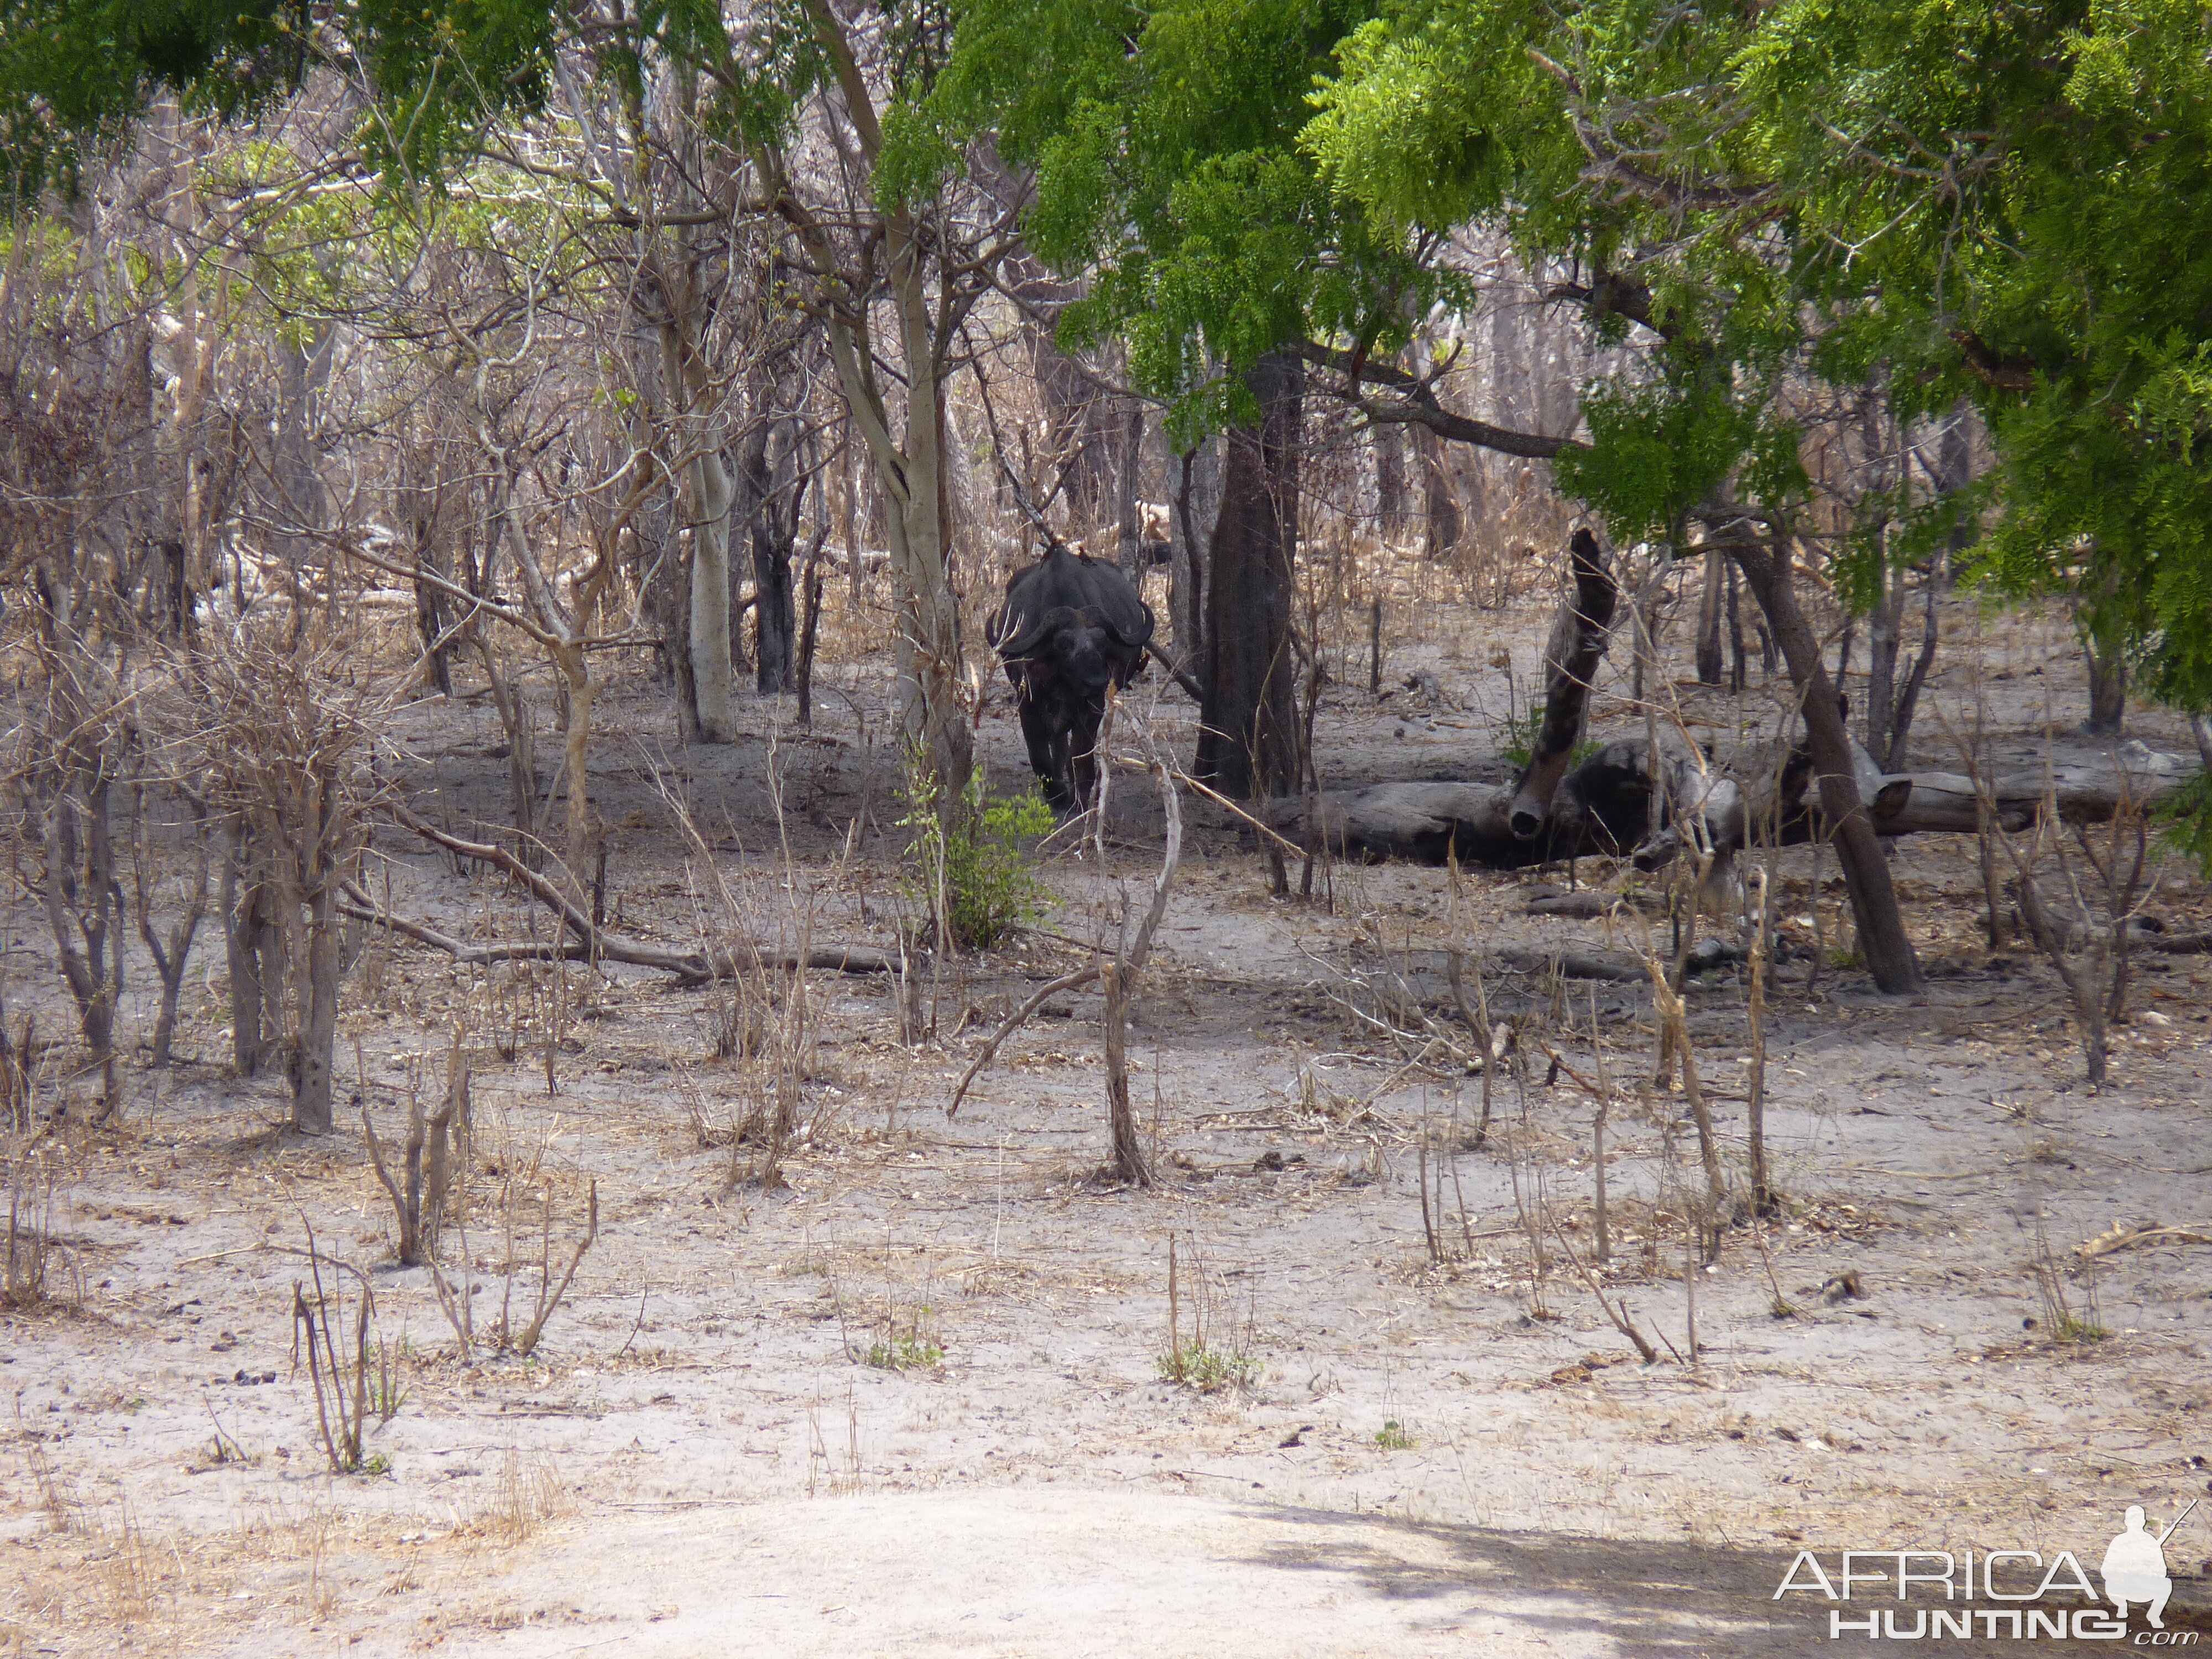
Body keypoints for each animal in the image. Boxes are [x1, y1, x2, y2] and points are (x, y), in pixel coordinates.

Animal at [991, 542, 1159, 814]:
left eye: (1102, 642)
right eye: (1062, 645)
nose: (1097, 681)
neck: (1064, 684)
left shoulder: (1093, 706)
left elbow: (1080, 753)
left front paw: (1079, 796)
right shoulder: (1027, 703)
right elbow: (1039, 755)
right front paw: (1057, 796)